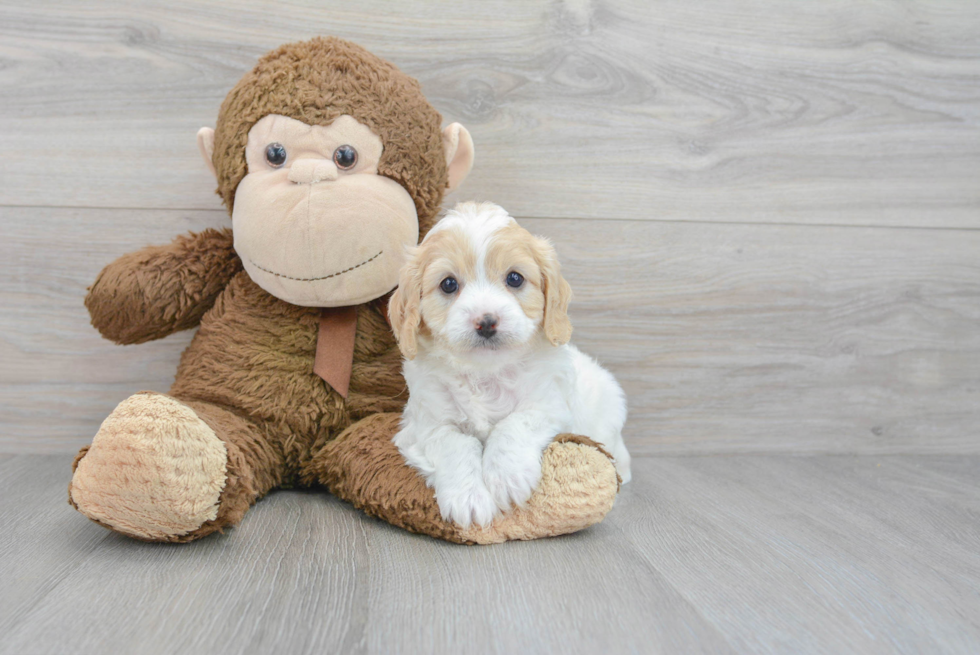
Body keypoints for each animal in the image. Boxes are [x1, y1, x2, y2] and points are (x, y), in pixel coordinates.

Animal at [386, 200, 632, 528]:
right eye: (448, 284)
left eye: (514, 278)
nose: (487, 321)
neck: (486, 372)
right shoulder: (426, 425)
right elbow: (455, 444)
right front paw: (468, 498)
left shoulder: (549, 407)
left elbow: (513, 425)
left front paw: (507, 478)